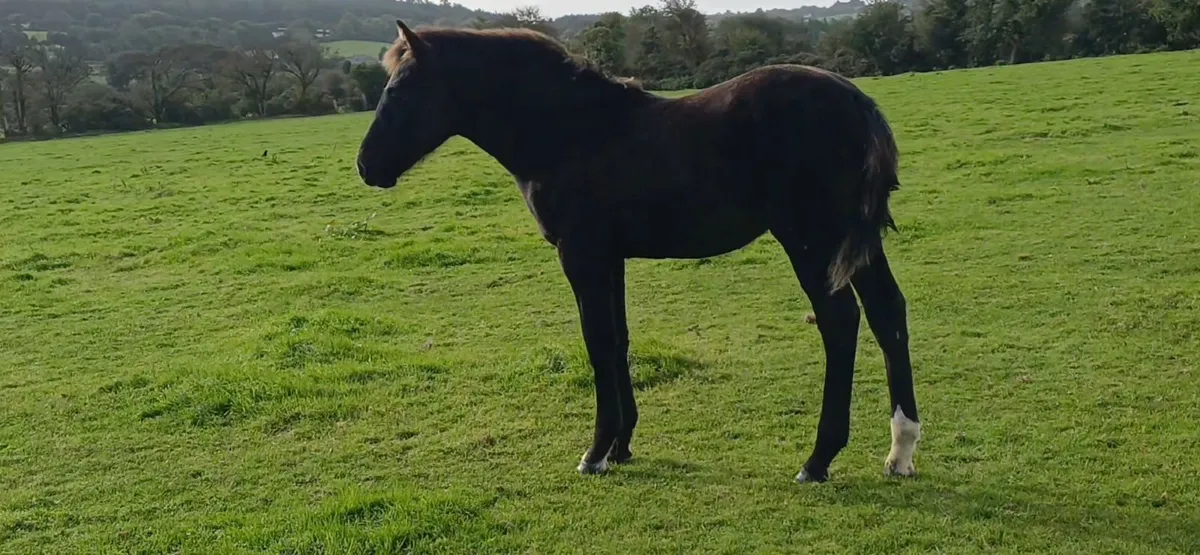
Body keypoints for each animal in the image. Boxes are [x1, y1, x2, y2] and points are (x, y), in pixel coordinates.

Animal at [356, 21, 922, 484]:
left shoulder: (580, 256)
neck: (567, 132)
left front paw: (596, 453)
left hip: (811, 240)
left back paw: (818, 460)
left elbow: (598, 343)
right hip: (856, 243)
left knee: (840, 321)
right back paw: (900, 451)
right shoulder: (610, 258)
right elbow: (620, 340)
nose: (366, 165)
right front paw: (622, 446)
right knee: (888, 313)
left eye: (399, 89)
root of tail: (857, 103)